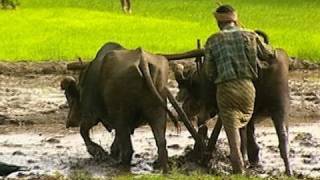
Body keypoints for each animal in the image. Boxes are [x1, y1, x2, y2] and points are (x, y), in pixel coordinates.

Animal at [60, 42, 200, 173]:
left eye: (70, 98)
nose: (69, 122)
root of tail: (142, 59)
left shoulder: (91, 113)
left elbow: (83, 131)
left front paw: (98, 152)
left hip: (121, 113)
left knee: (128, 149)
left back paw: (120, 166)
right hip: (157, 110)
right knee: (161, 142)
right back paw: (160, 167)